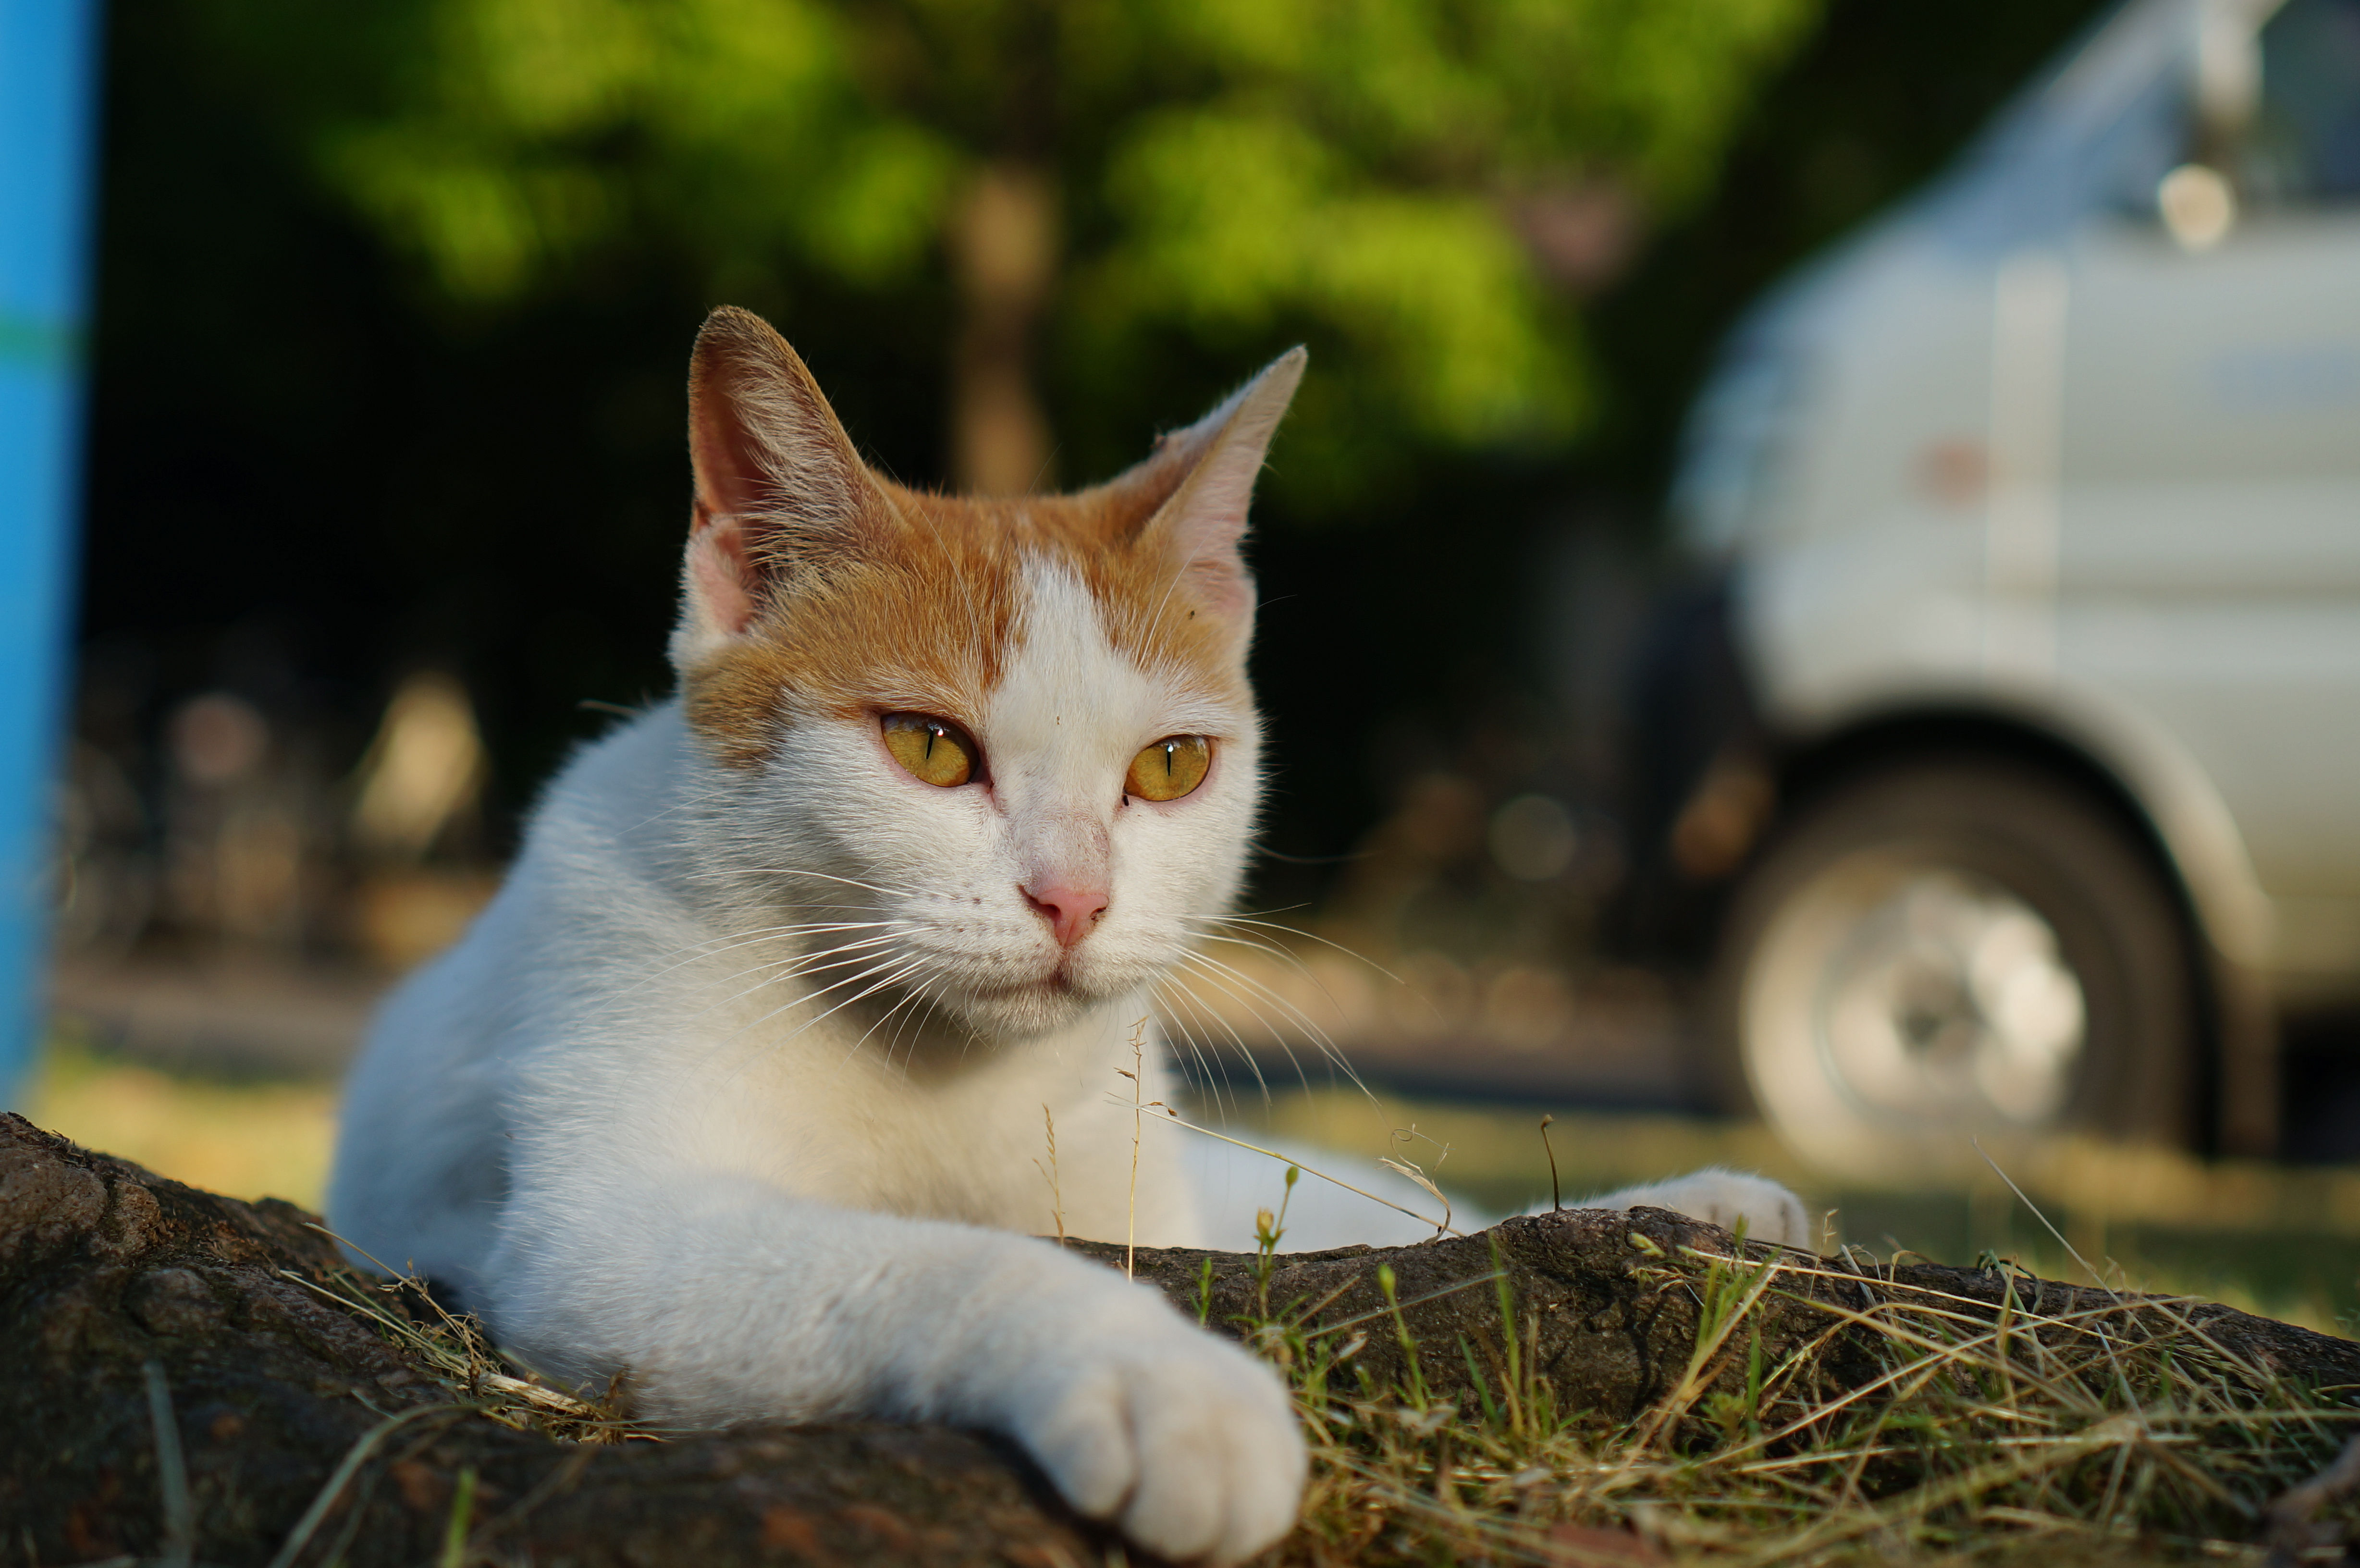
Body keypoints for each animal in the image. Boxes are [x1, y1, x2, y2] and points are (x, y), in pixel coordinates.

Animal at [328, 302, 1803, 1558]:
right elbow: (922, 1257)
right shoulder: (603, 1233)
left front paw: (1671, 1218)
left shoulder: (1152, 1190)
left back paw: (1705, 1208)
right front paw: (1156, 1375)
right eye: (928, 746)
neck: (954, 1075)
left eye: (1169, 767)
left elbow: (1358, 1242)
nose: (1076, 898)